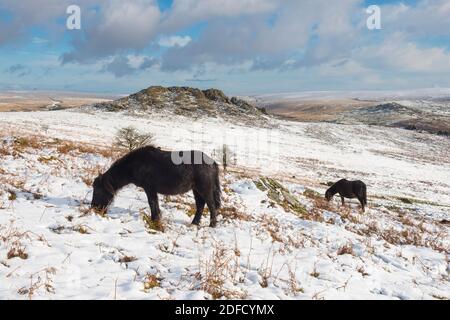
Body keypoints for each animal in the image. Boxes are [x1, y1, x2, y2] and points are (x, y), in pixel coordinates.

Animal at [90, 145, 221, 228]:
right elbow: (155, 204)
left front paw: (154, 220)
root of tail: (212, 163)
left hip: (204, 189)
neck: (136, 164)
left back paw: (212, 225)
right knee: (200, 205)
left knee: (211, 205)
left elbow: (152, 203)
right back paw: (194, 223)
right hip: (196, 190)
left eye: (97, 191)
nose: (94, 208)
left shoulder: (149, 189)